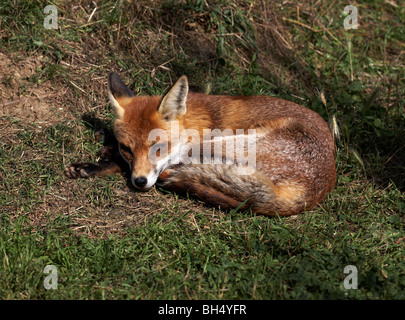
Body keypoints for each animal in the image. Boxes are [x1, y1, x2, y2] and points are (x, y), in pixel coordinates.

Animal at [65, 73, 334, 215]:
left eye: (158, 148)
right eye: (127, 149)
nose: (140, 182)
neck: (195, 121)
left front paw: (100, 160)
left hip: (219, 143)